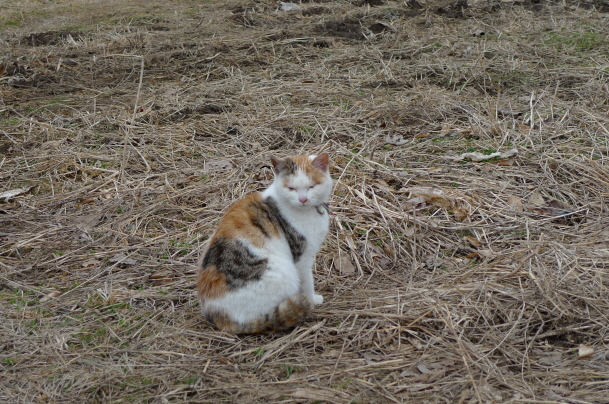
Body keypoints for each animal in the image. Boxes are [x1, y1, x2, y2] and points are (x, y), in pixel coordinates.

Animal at [196, 153, 332, 332]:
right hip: (284, 275)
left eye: (311, 186)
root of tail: (220, 318)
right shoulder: (302, 259)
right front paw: (313, 299)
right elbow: (308, 283)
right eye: (291, 188)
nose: (303, 199)